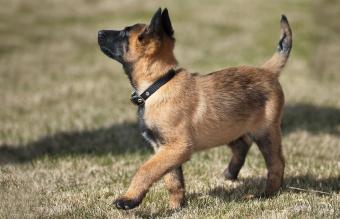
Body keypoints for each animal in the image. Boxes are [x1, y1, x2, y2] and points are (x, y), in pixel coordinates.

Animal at [98, 7, 292, 210]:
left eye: (124, 34)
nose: (99, 32)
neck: (158, 84)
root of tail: (267, 71)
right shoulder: (164, 148)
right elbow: (173, 180)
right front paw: (176, 206)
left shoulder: (177, 147)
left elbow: (146, 169)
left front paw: (129, 199)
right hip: (227, 127)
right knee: (242, 144)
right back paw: (230, 173)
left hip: (265, 132)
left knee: (276, 163)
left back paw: (268, 193)